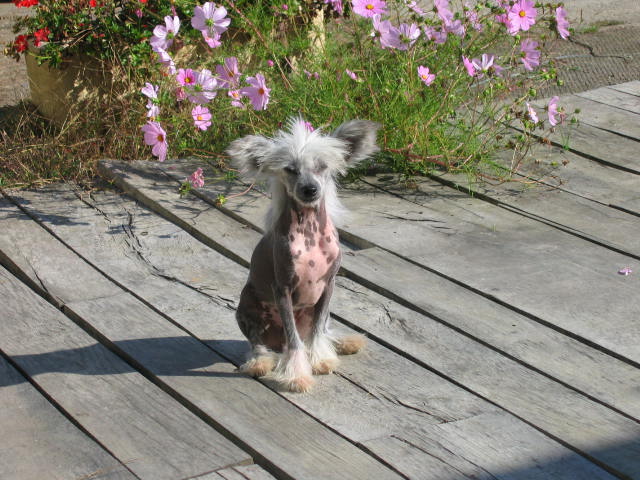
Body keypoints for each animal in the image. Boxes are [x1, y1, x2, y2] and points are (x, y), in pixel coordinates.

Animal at [228, 118, 380, 392]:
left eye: (322, 166)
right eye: (290, 169)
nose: (310, 189)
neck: (310, 235)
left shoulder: (328, 286)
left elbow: (318, 331)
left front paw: (320, 359)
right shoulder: (283, 290)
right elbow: (295, 341)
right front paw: (297, 375)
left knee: (321, 329)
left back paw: (343, 342)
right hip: (246, 308)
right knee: (259, 343)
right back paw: (259, 362)